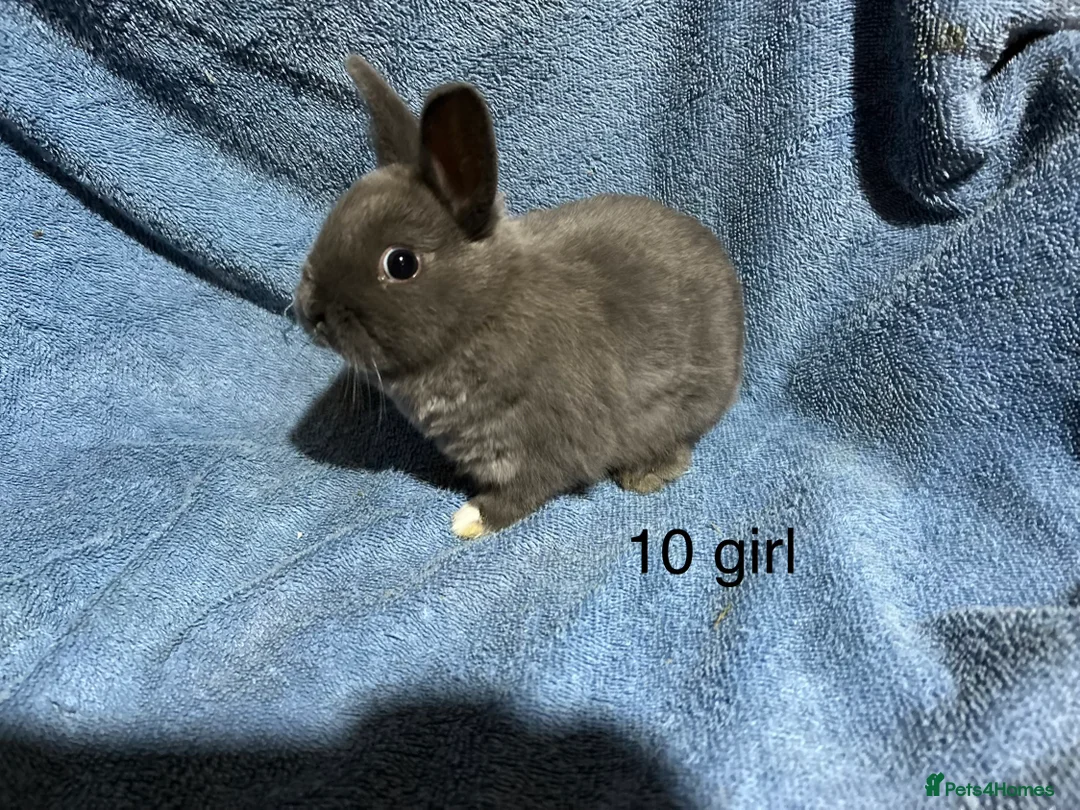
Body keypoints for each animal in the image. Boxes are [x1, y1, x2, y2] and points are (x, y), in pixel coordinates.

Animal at [293, 54, 744, 539]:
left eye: (400, 263)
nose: (310, 311)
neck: (484, 309)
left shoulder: (546, 443)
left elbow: (528, 489)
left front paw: (471, 519)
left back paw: (646, 474)